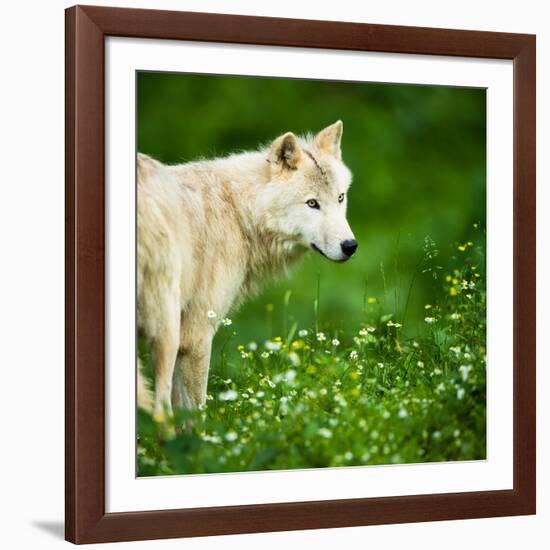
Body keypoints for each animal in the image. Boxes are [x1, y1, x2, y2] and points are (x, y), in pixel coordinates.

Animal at [138, 122, 358, 422]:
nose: (350, 246)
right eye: (312, 203)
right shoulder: (197, 336)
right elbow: (195, 413)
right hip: (167, 334)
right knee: (161, 411)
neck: (239, 213)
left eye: (340, 198)